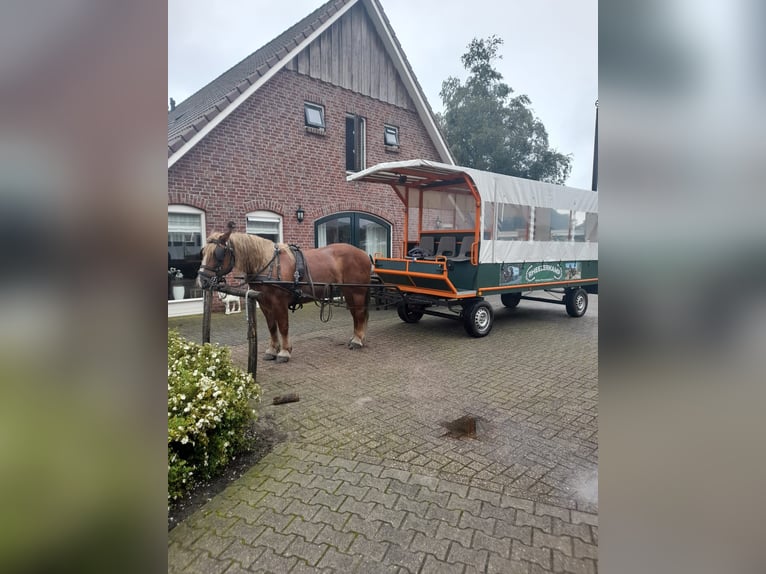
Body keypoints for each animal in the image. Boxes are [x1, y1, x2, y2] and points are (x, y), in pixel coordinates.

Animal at [198, 226, 372, 364]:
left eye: (218, 253)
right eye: (203, 252)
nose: (202, 281)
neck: (268, 265)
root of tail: (364, 253)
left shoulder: (279, 303)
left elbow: (283, 326)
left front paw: (284, 352)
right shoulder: (264, 303)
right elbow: (271, 327)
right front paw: (272, 350)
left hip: (356, 291)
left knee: (359, 314)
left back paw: (357, 340)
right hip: (348, 292)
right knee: (356, 315)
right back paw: (357, 338)